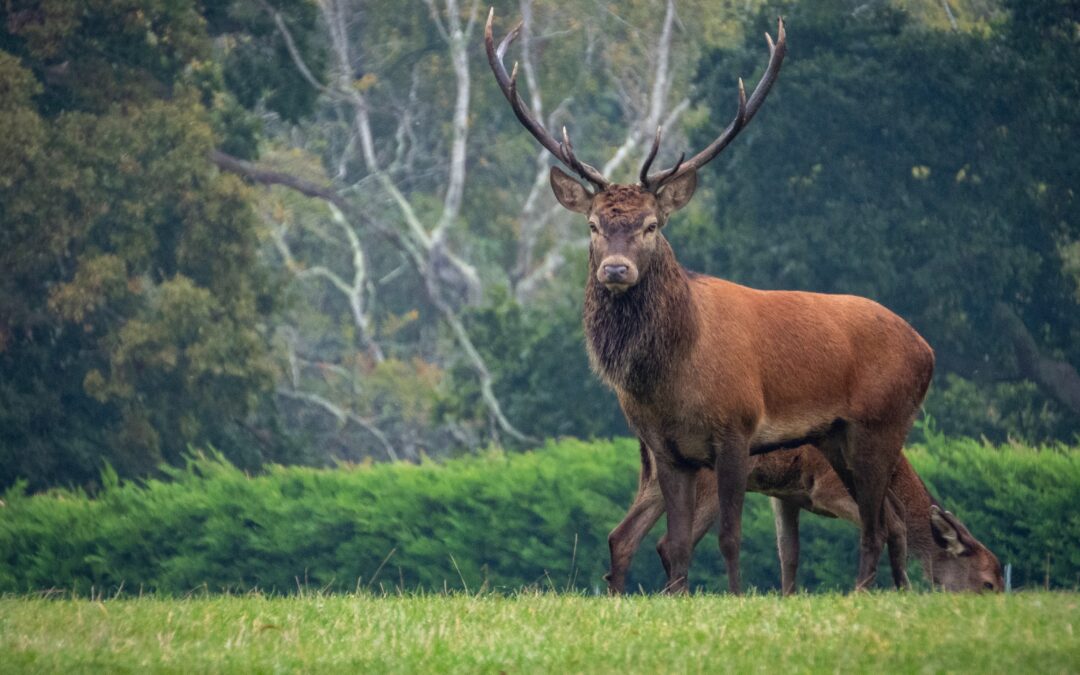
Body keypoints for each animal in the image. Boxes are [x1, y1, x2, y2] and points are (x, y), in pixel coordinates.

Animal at [486, 10, 936, 592]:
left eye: (651, 225)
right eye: (593, 225)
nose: (616, 269)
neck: (672, 376)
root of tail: (927, 350)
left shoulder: (736, 429)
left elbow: (730, 536)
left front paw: (738, 597)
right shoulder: (666, 448)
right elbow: (676, 545)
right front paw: (677, 596)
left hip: (883, 423)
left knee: (878, 523)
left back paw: (868, 593)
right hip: (837, 437)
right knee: (886, 518)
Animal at [605, 440, 1004, 594]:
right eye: (987, 583)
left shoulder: (785, 495)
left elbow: (789, 552)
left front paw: (788, 598)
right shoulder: (826, 488)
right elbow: (894, 522)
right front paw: (895, 590)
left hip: (654, 479)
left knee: (622, 535)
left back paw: (620, 597)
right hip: (706, 481)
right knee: (668, 541)